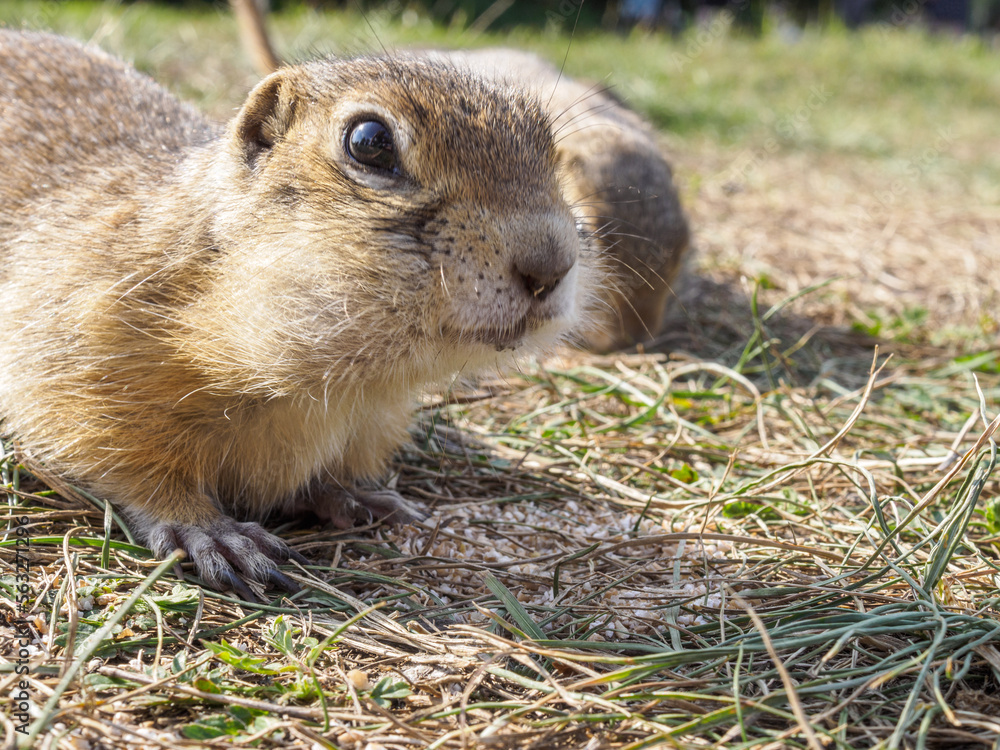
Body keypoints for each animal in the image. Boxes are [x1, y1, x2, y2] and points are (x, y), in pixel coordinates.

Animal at [0, 30, 592, 600]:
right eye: (370, 142)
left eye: (548, 143)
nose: (551, 264)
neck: (336, 383)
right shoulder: (77, 345)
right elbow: (125, 464)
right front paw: (212, 532)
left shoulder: (369, 421)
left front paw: (357, 498)